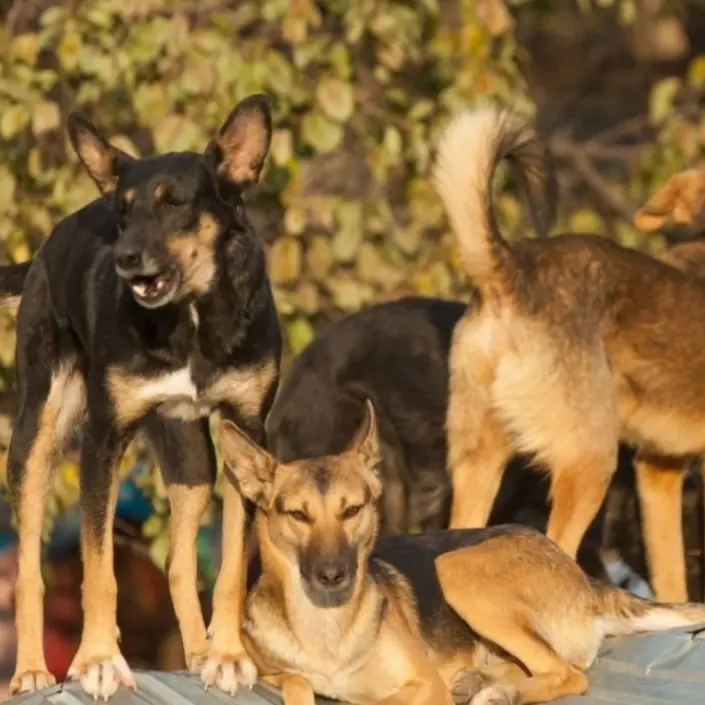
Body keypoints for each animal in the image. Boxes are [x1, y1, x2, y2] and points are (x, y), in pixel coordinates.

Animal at [3, 96, 284, 696]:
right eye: (124, 213)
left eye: (174, 203)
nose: (125, 258)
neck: (191, 318)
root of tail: (45, 248)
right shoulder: (103, 440)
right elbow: (98, 568)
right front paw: (98, 660)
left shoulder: (247, 431)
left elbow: (230, 567)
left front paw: (228, 656)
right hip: (37, 433)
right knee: (30, 574)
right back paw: (33, 670)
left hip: (193, 454)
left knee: (178, 561)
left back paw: (199, 653)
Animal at [220, 402, 704, 704]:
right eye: (297, 515)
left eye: (352, 510)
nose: (333, 575)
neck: (326, 626)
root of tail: (585, 580)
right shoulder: (273, 672)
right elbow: (295, 684)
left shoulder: (424, 685)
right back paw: (483, 683)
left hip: (456, 568)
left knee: (568, 673)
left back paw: (498, 693)